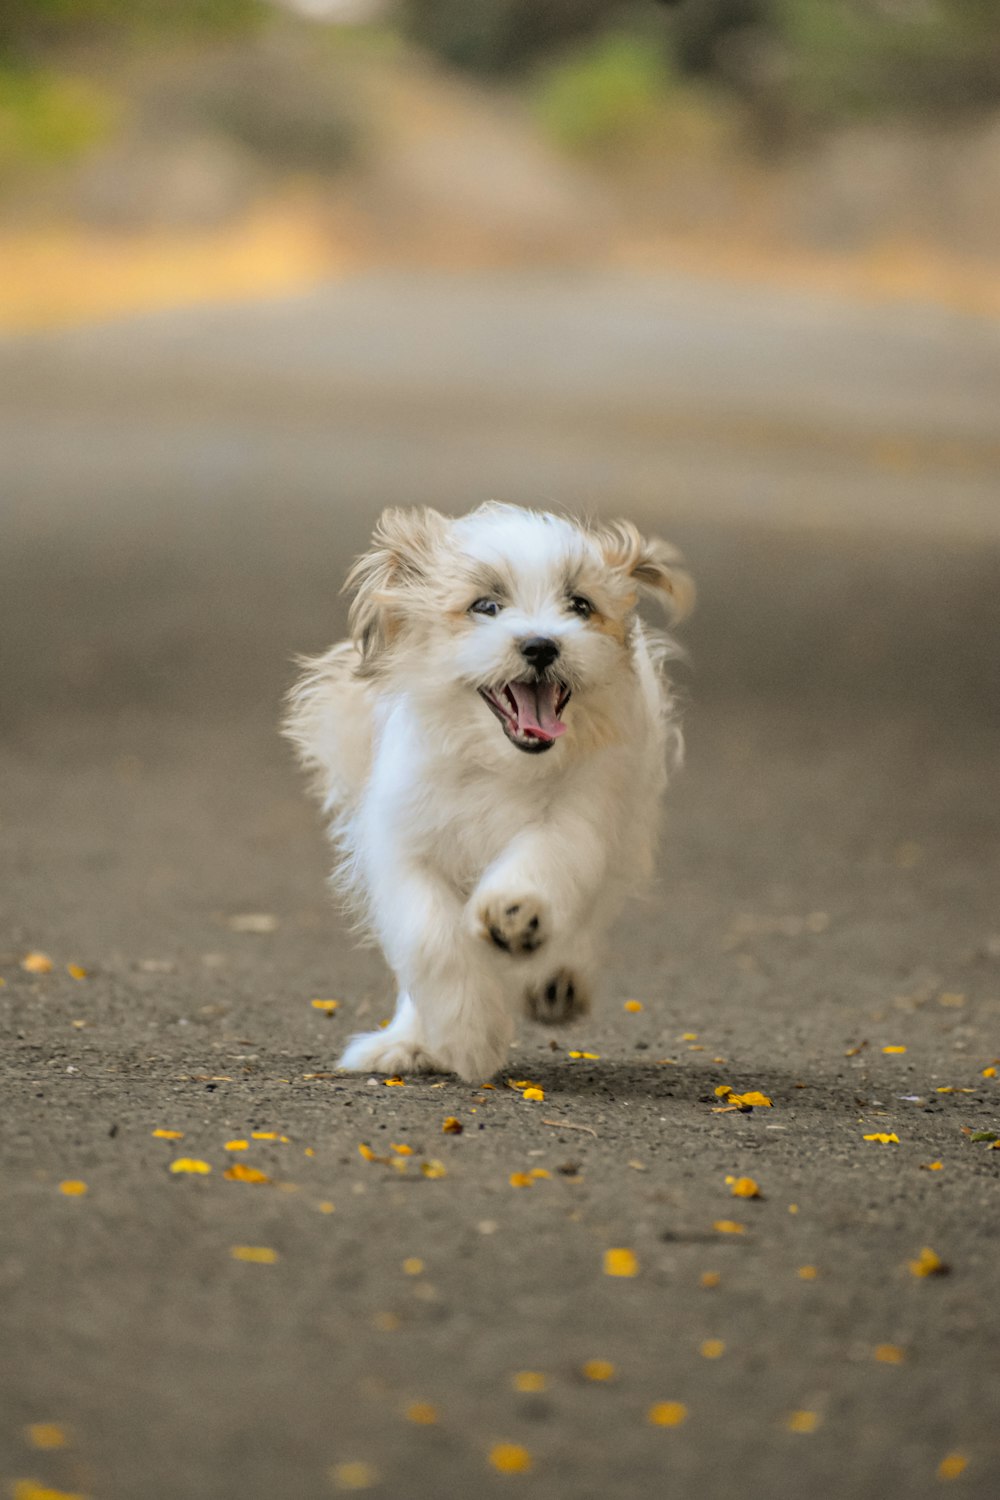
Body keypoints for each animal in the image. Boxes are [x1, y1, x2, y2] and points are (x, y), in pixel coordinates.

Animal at [284, 501, 692, 1080]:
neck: (499, 765)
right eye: (486, 606)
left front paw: (514, 914)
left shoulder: (579, 814)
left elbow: (542, 860)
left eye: (580, 605)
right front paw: (467, 1032)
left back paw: (553, 977)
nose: (541, 644)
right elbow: (429, 937)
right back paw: (411, 1039)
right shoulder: (404, 845)